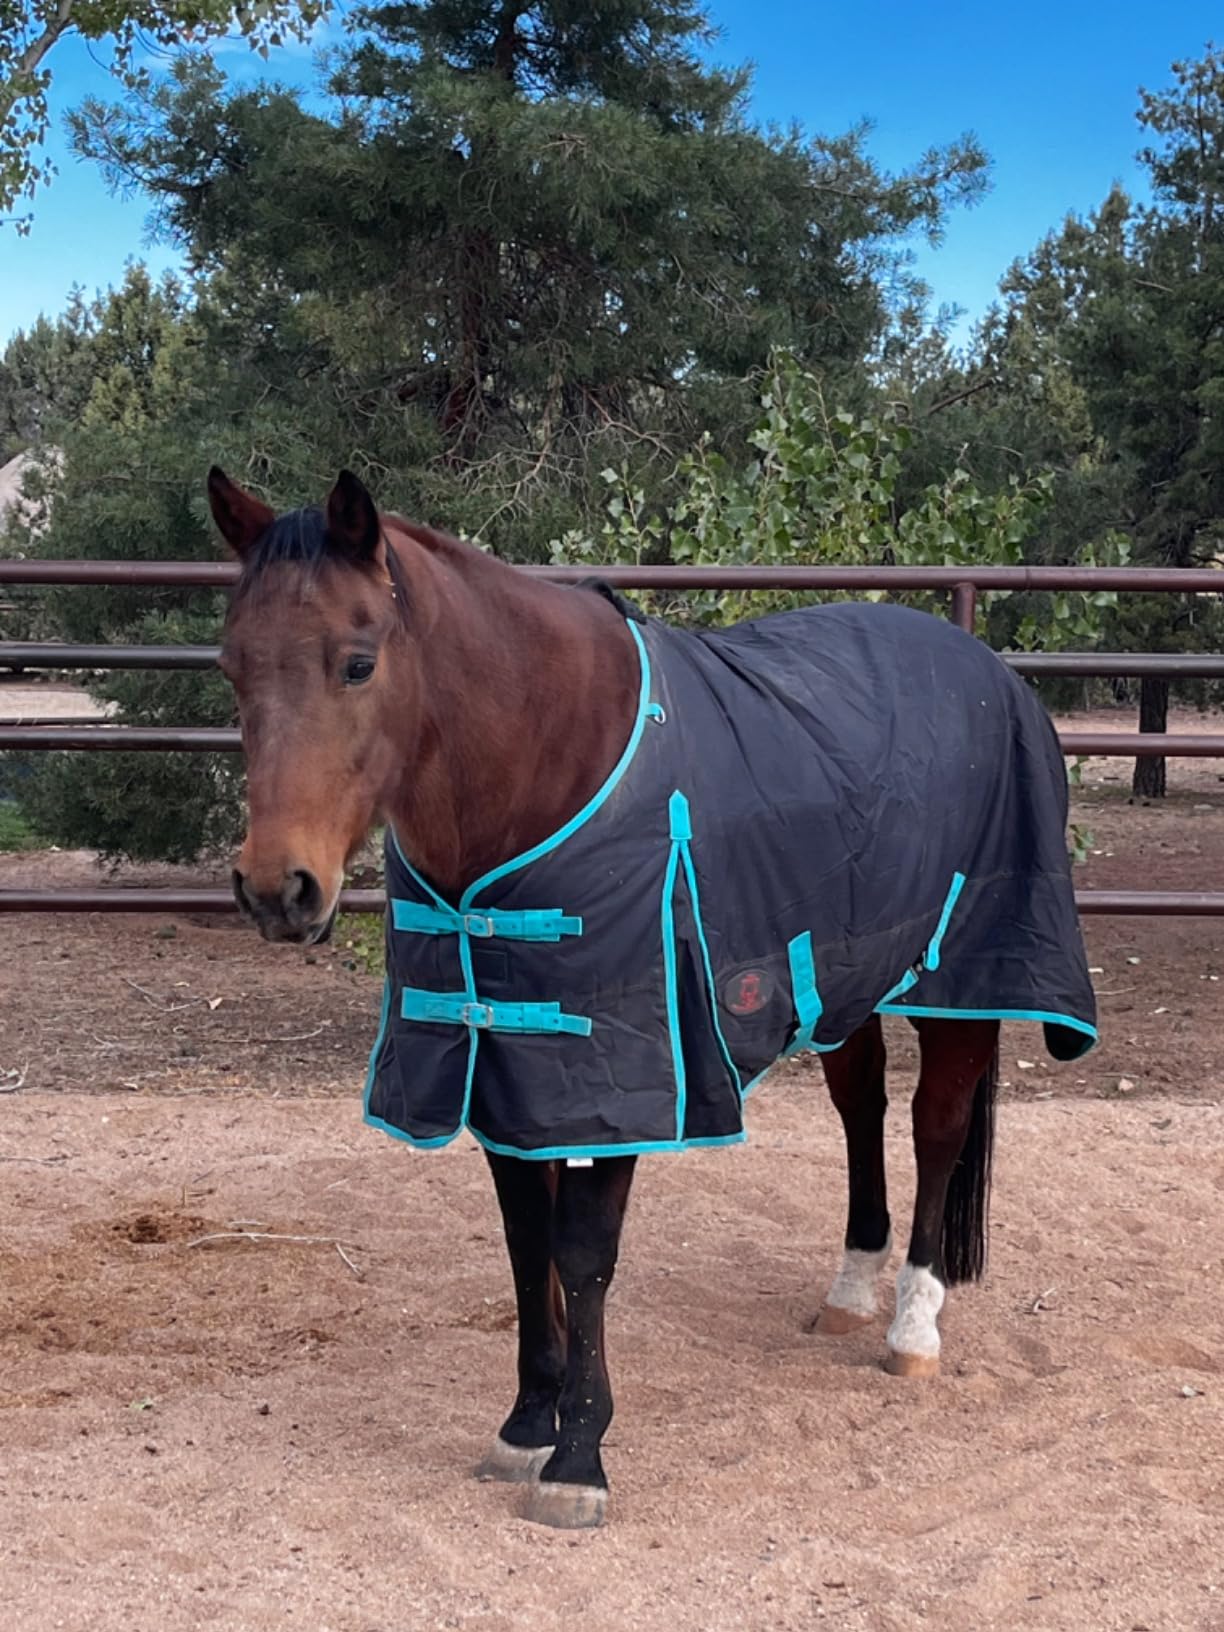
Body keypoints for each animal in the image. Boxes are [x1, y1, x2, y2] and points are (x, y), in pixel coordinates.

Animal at [207, 465, 1097, 1531]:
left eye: (356, 663)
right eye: (232, 666)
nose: (276, 889)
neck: (546, 762)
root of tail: (989, 670)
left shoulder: (624, 1073)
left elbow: (584, 1252)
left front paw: (578, 1457)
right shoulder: (505, 1065)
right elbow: (526, 1244)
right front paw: (525, 1425)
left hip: (959, 977)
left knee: (937, 1124)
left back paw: (912, 1327)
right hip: (841, 978)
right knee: (862, 1107)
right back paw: (850, 1289)